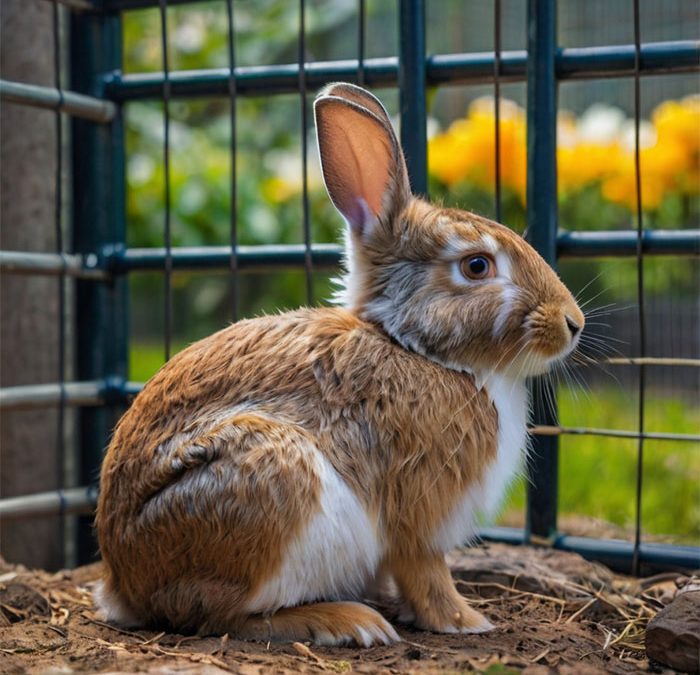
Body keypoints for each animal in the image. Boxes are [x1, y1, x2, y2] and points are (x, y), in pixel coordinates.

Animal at [94, 82, 584, 648]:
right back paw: (346, 621)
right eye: (477, 266)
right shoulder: (419, 515)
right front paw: (466, 621)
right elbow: (427, 572)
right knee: (214, 614)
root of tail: (122, 581)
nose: (573, 323)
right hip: (272, 481)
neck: (415, 348)